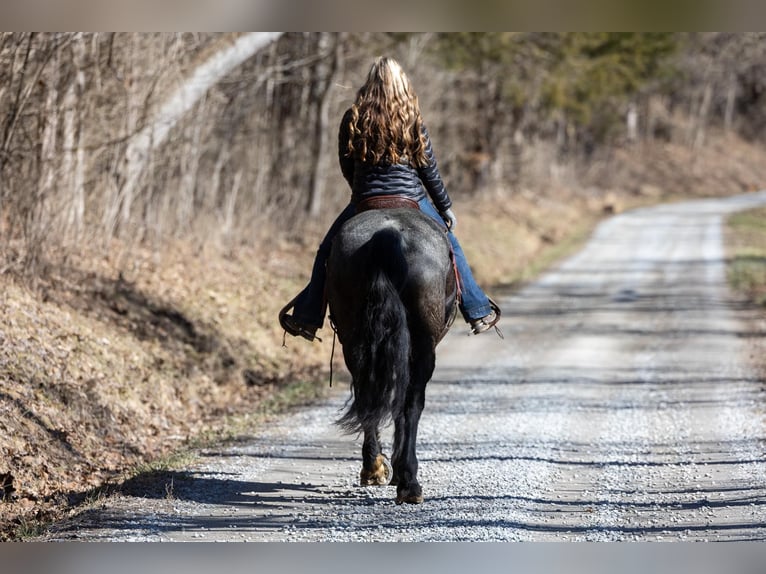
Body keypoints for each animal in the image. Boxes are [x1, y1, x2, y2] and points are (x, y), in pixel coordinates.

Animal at [324, 209, 456, 506]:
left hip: (355, 340)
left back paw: (373, 468)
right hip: (422, 346)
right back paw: (409, 482)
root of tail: (387, 233)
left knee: (367, 396)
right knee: (411, 404)